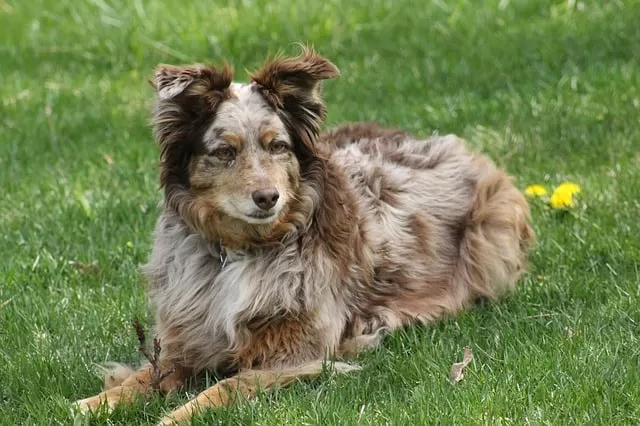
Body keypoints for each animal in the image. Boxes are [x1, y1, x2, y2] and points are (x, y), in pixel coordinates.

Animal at [74, 48, 536, 424]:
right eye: (224, 152)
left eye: (278, 146)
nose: (268, 197)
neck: (243, 249)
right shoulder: (186, 339)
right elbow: (143, 377)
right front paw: (96, 403)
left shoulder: (298, 356)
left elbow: (225, 386)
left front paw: (176, 415)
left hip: (490, 233)